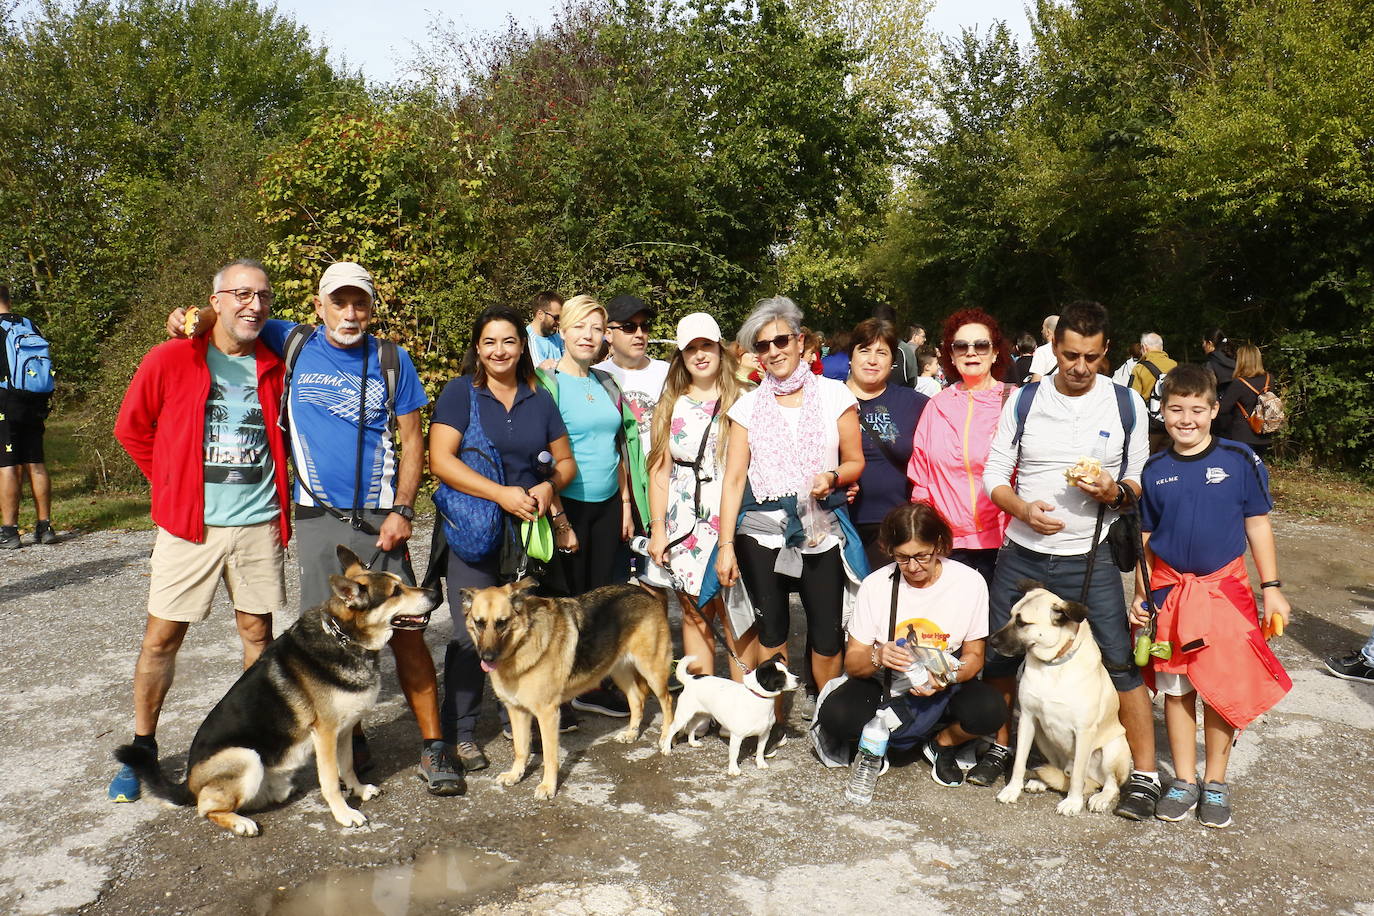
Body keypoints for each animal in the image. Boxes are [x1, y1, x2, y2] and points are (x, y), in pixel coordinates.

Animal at [662, 650, 802, 774]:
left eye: (788, 670)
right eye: (781, 676)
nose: (799, 679)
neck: (758, 698)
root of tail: (691, 679)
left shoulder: (764, 734)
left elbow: (760, 750)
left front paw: (760, 763)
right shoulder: (736, 736)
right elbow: (734, 754)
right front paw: (734, 770)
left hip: (702, 715)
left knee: (692, 727)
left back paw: (692, 743)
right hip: (683, 716)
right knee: (672, 729)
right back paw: (666, 749)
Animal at [989, 585, 1126, 813]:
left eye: (1022, 622)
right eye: (1010, 616)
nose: (991, 642)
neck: (1053, 664)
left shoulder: (1084, 731)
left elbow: (1078, 776)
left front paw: (1073, 802)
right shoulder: (1027, 718)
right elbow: (1019, 762)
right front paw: (1012, 790)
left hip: (1113, 748)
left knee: (1107, 783)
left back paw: (1101, 797)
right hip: (1042, 737)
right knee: (1061, 772)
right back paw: (1041, 781)